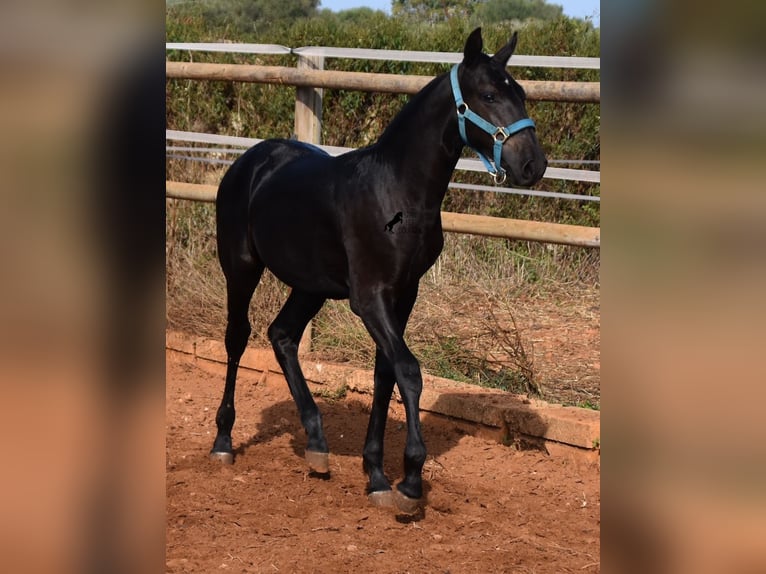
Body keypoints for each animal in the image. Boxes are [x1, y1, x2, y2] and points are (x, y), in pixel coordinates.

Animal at [210, 27, 544, 516]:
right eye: (487, 94)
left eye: (519, 93)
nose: (533, 165)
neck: (396, 192)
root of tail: (250, 160)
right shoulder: (369, 298)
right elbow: (409, 370)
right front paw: (410, 481)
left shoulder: (404, 294)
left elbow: (386, 373)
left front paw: (377, 476)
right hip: (241, 267)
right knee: (237, 337)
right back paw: (223, 440)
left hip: (310, 285)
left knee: (282, 335)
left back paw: (317, 444)